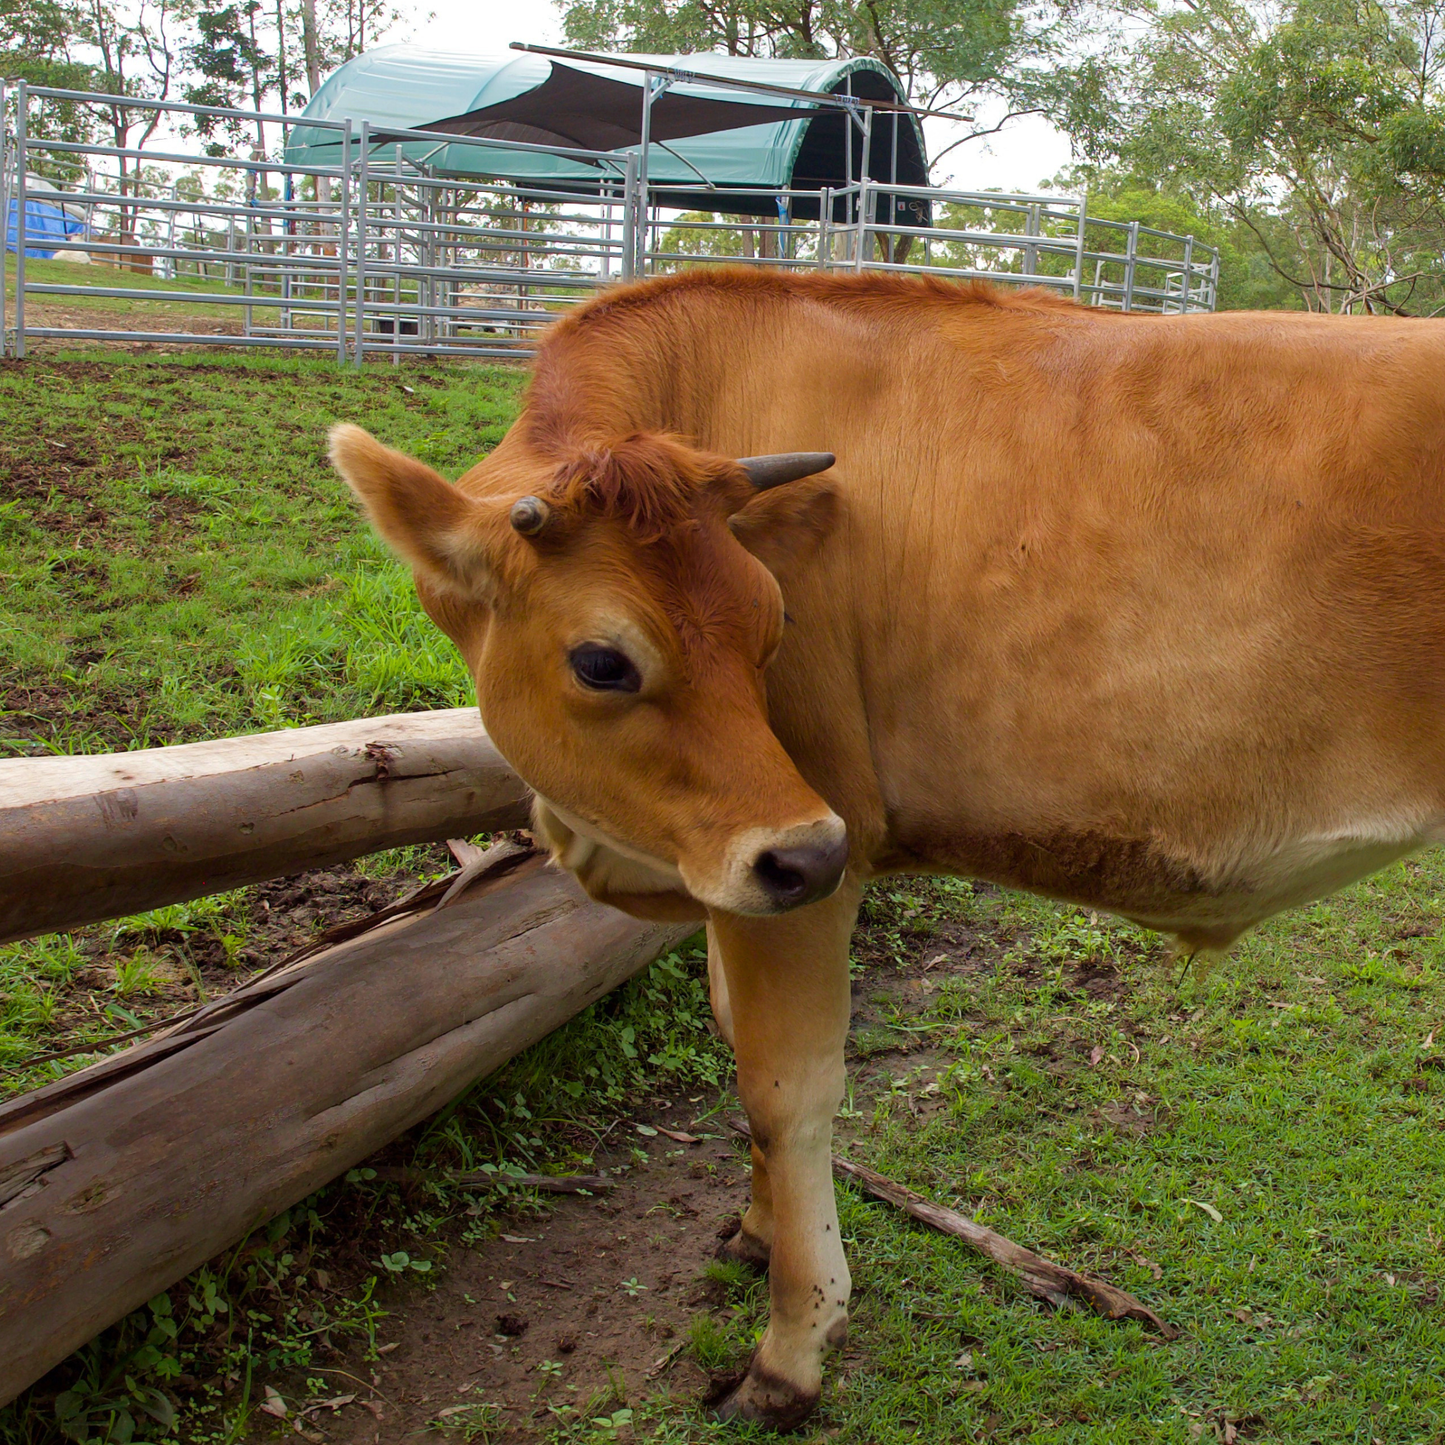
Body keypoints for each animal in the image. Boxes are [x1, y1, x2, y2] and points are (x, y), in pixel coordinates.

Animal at [330, 268, 1445, 1428]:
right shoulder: (743, 873)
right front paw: (752, 1230)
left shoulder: (810, 855)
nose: (804, 850)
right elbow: (734, 1042)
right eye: (601, 660)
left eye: (774, 621)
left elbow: (786, 1090)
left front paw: (790, 1348)